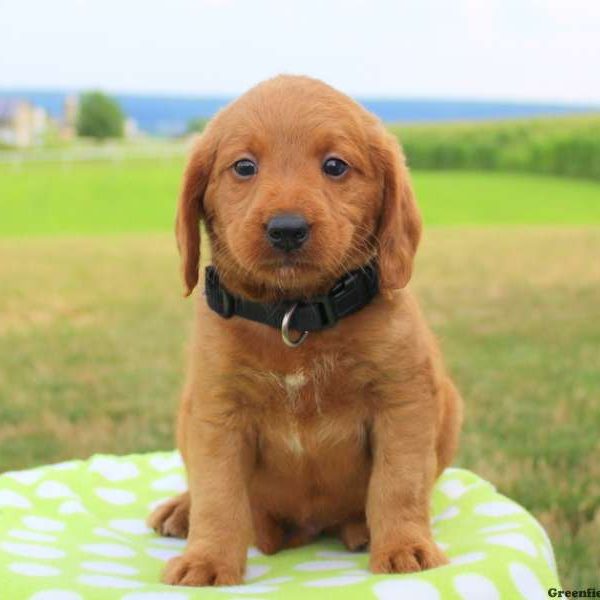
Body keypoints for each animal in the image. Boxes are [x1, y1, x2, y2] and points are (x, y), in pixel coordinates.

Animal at [148, 75, 462, 584]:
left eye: (335, 166)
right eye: (244, 167)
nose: (287, 229)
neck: (295, 317)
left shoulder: (404, 403)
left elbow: (399, 483)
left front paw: (405, 546)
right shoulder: (217, 414)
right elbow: (218, 495)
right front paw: (208, 560)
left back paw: (360, 528)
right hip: (186, 411)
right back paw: (182, 509)